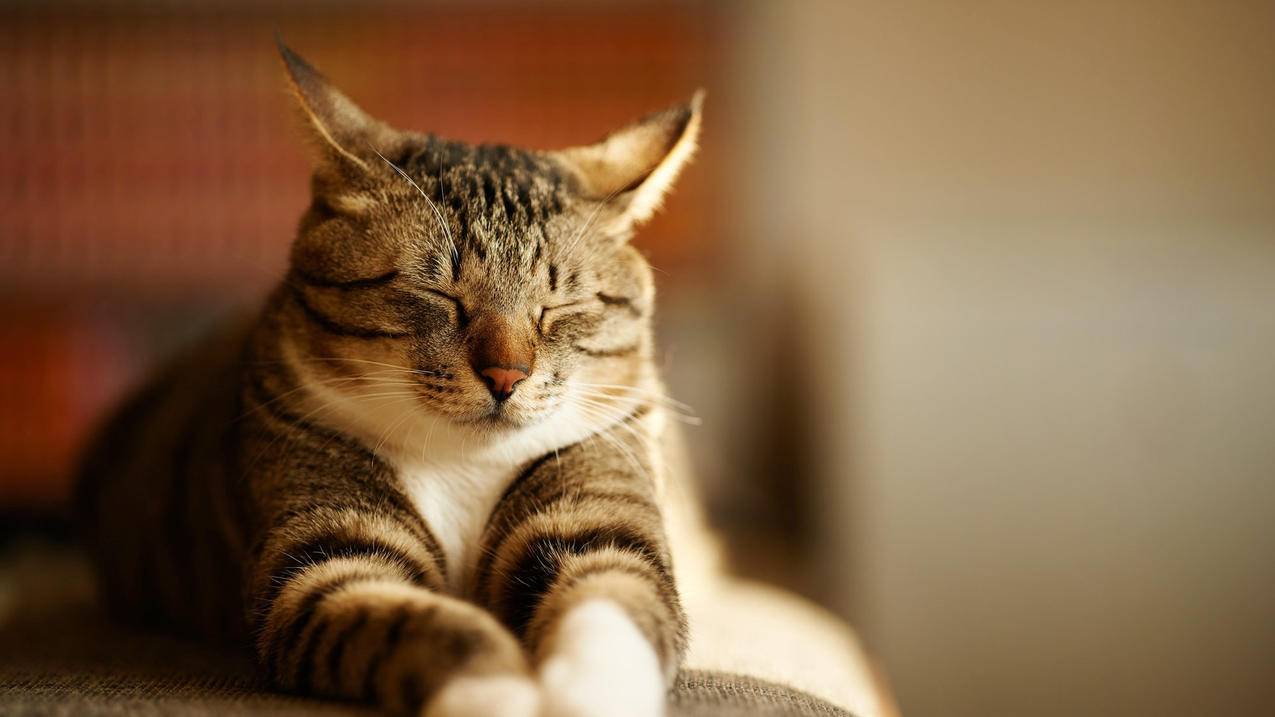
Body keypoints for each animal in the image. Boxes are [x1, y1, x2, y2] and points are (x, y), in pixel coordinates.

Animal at [74, 44, 877, 714]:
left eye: (560, 306)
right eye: (439, 294)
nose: (505, 374)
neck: (463, 464)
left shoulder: (598, 519)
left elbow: (611, 602)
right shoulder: (327, 559)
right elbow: (430, 627)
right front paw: (499, 694)